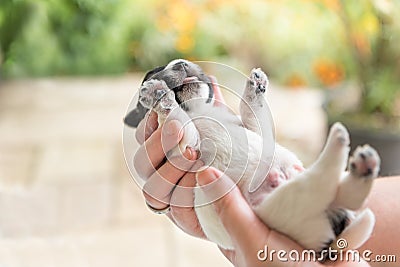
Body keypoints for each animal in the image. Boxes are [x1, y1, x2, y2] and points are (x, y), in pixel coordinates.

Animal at [125, 59, 382, 254]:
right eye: (156, 71)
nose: (181, 62)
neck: (198, 110)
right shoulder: (185, 143)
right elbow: (174, 115)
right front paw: (157, 94)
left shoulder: (256, 131)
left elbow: (251, 114)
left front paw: (256, 86)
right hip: (286, 204)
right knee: (323, 181)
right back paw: (344, 147)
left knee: (341, 192)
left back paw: (362, 165)